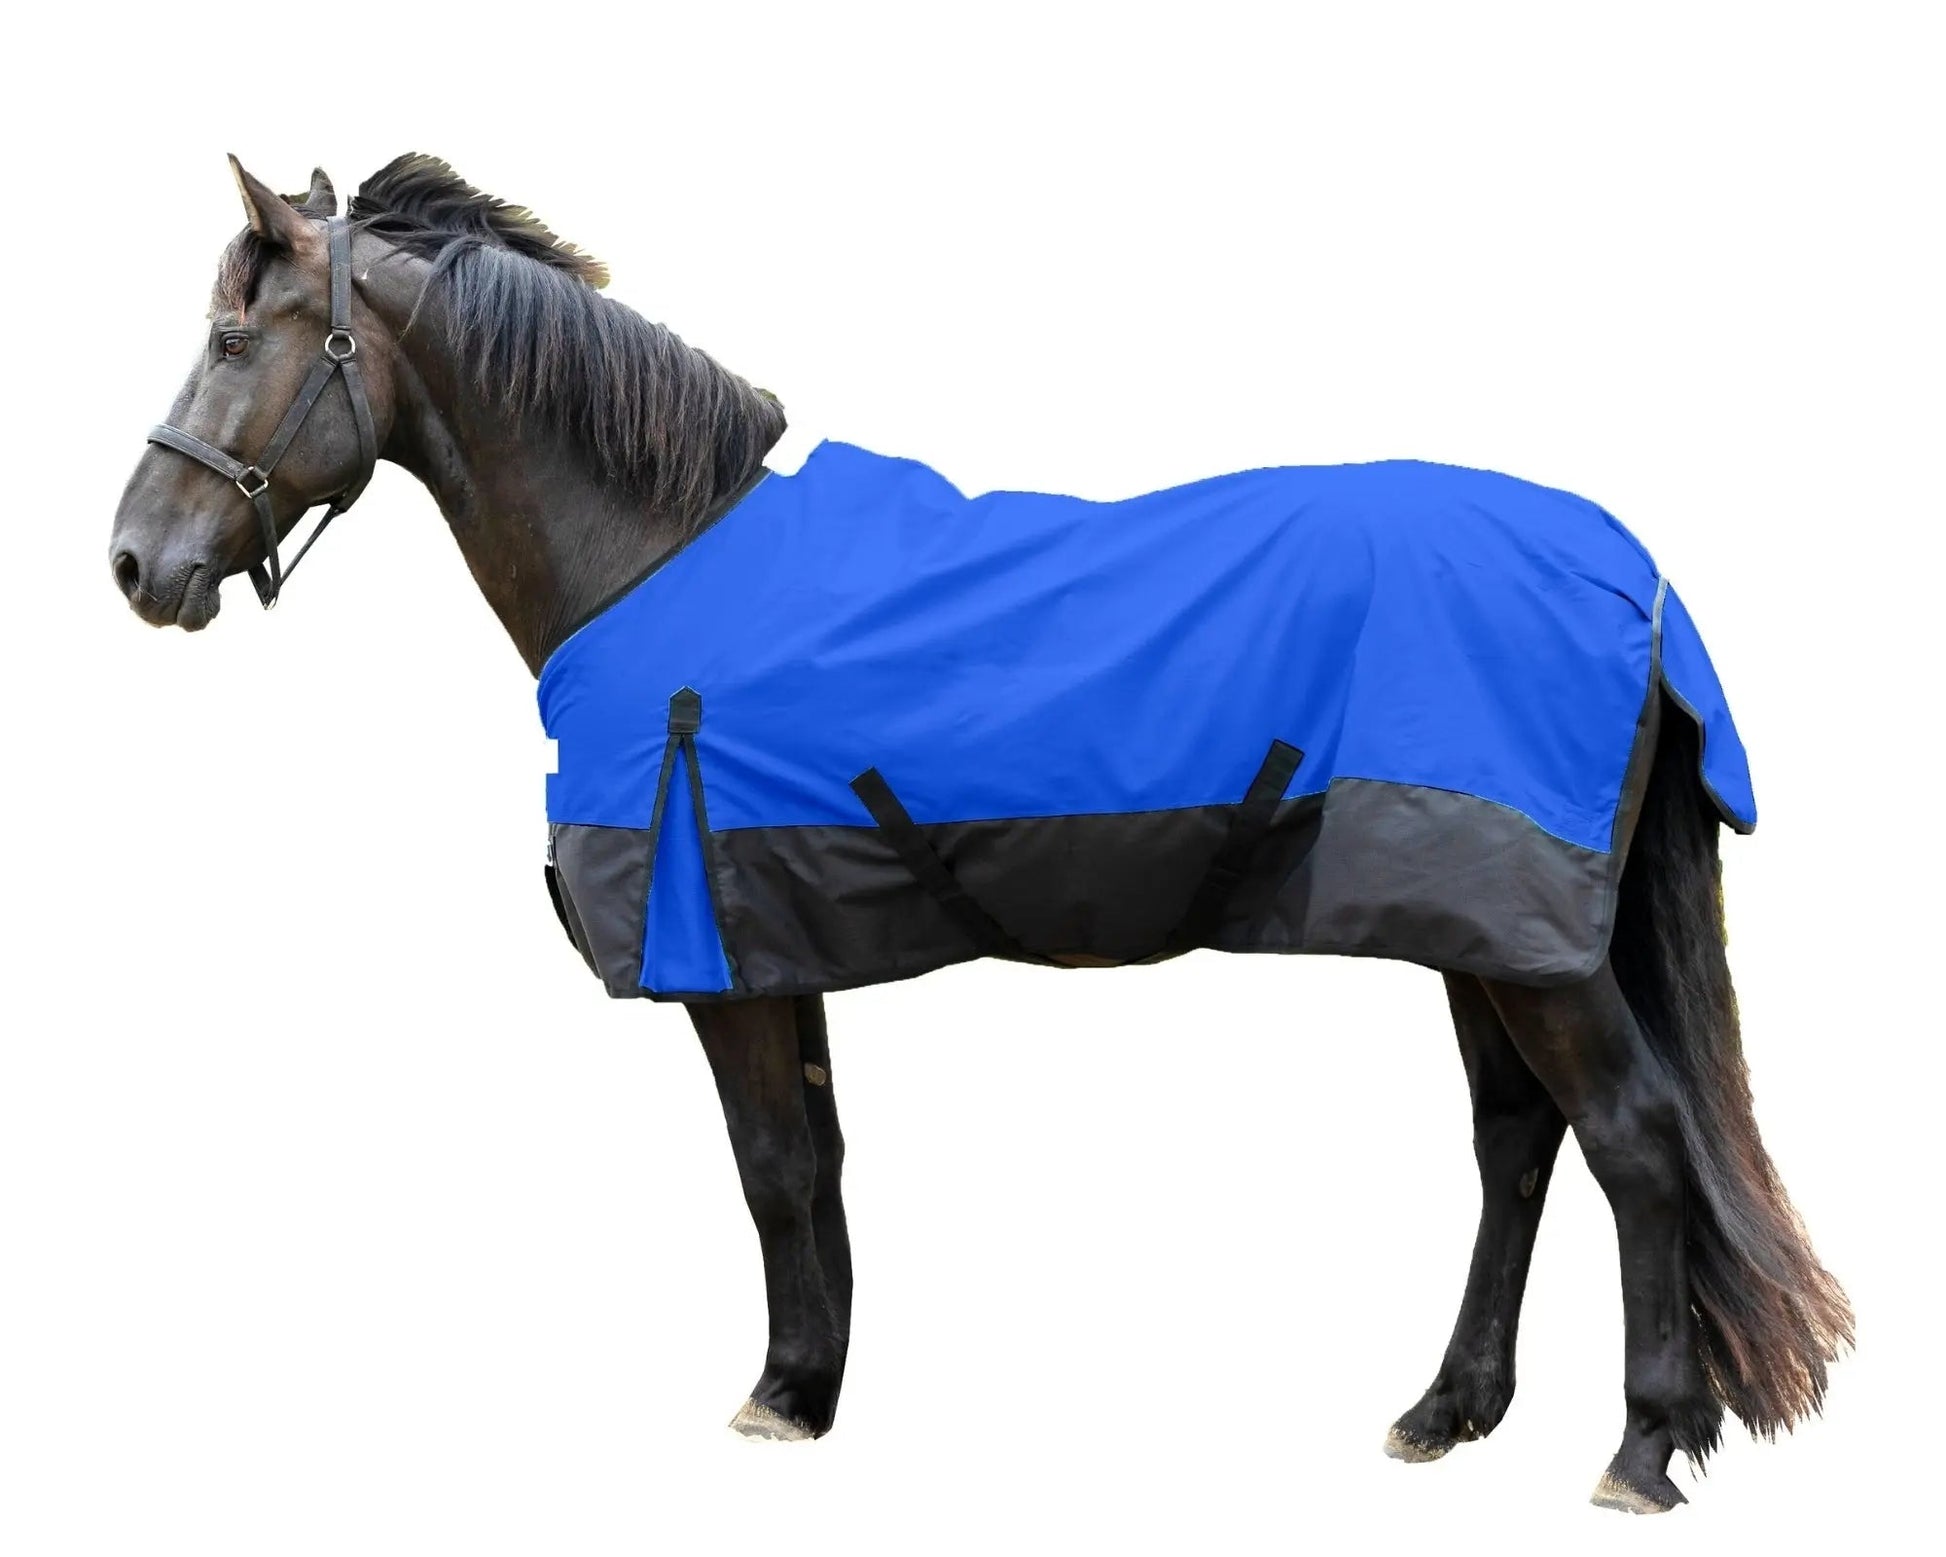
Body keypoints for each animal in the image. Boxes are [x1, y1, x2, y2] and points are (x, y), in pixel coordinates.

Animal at [107, 154, 1851, 1515]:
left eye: (231, 337)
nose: (134, 561)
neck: (659, 555)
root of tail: (1629, 573)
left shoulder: (721, 952)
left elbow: (769, 1166)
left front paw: (775, 1399)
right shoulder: (774, 939)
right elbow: (812, 1162)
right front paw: (810, 1385)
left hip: (1532, 946)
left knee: (1633, 1141)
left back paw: (1638, 1448)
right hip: (1475, 931)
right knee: (1515, 1143)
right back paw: (1447, 1412)